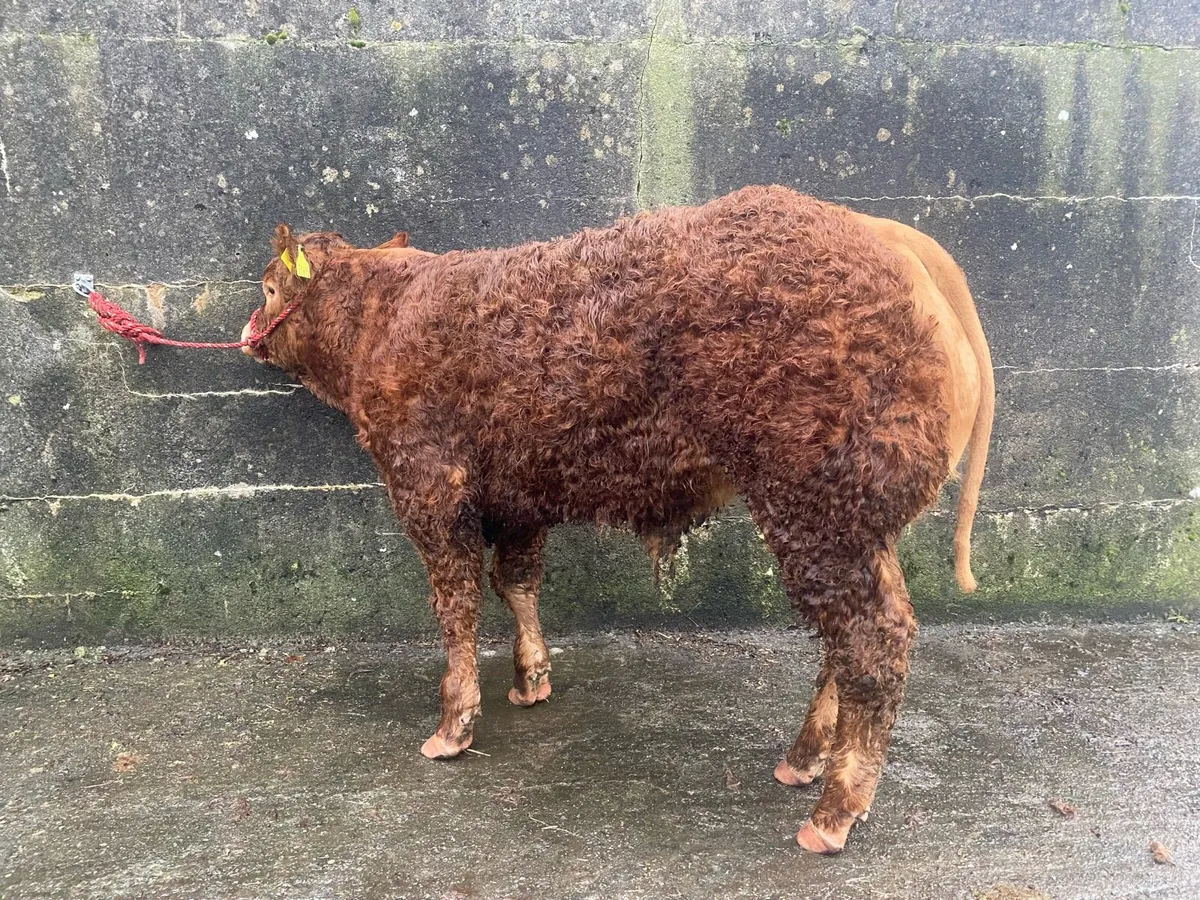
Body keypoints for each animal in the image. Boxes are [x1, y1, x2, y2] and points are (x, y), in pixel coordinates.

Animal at [241, 185, 994, 854]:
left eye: (269, 286)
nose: (247, 332)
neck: (380, 316)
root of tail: (883, 233)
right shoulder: (519, 496)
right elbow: (516, 581)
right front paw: (531, 682)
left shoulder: (428, 482)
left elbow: (455, 605)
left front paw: (453, 726)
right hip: (853, 526)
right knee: (847, 643)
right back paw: (804, 759)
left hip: (819, 509)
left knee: (874, 642)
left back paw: (832, 812)